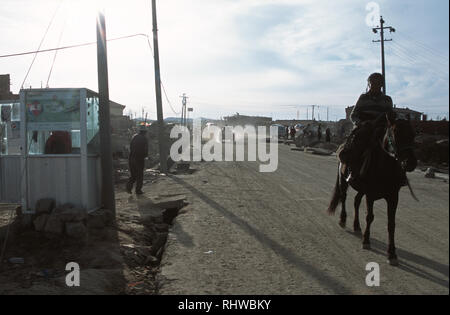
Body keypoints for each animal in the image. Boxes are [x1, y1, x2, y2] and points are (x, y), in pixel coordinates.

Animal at [326, 114, 418, 266]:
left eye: (413, 134)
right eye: (395, 132)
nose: (410, 163)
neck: (385, 169)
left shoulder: (393, 197)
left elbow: (391, 223)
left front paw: (392, 253)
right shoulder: (370, 194)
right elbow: (370, 217)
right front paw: (366, 241)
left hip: (361, 189)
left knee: (356, 201)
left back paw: (357, 226)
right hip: (343, 181)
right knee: (344, 197)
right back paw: (343, 220)